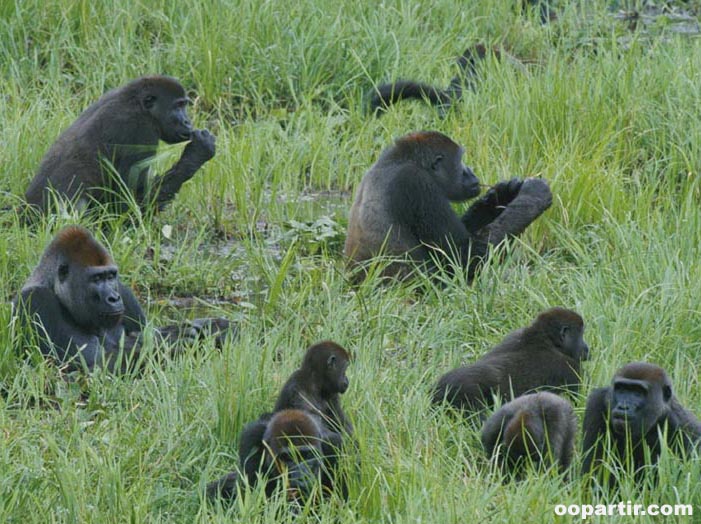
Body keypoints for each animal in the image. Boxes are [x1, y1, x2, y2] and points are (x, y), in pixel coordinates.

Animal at [14, 225, 232, 372]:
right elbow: (85, 367)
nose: (113, 297)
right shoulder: (36, 300)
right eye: (97, 278)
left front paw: (216, 328)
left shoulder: (126, 293)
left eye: (111, 276)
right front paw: (169, 341)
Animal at [23, 74, 215, 218]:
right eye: (178, 106)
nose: (187, 122)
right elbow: (129, 204)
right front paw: (198, 153)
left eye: (184, 105)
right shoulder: (139, 129)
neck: (137, 103)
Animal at [344, 131, 552, 282]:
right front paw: (534, 196)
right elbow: (464, 257)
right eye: (460, 160)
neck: (398, 160)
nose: (470, 171)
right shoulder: (416, 184)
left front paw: (501, 194)